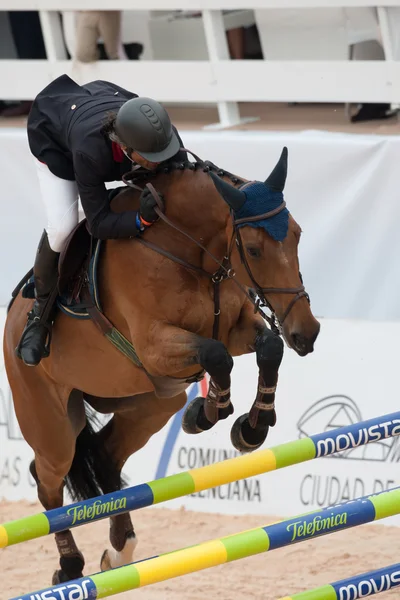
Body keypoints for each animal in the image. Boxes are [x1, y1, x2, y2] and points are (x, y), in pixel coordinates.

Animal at [2, 143, 318, 584]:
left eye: (297, 235)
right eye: (254, 250)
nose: (308, 332)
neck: (188, 250)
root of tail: (14, 319)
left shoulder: (238, 326)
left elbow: (269, 347)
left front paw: (251, 428)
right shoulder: (155, 344)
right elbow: (216, 356)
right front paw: (209, 412)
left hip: (150, 404)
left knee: (107, 455)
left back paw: (120, 548)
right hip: (51, 425)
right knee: (46, 480)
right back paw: (69, 565)